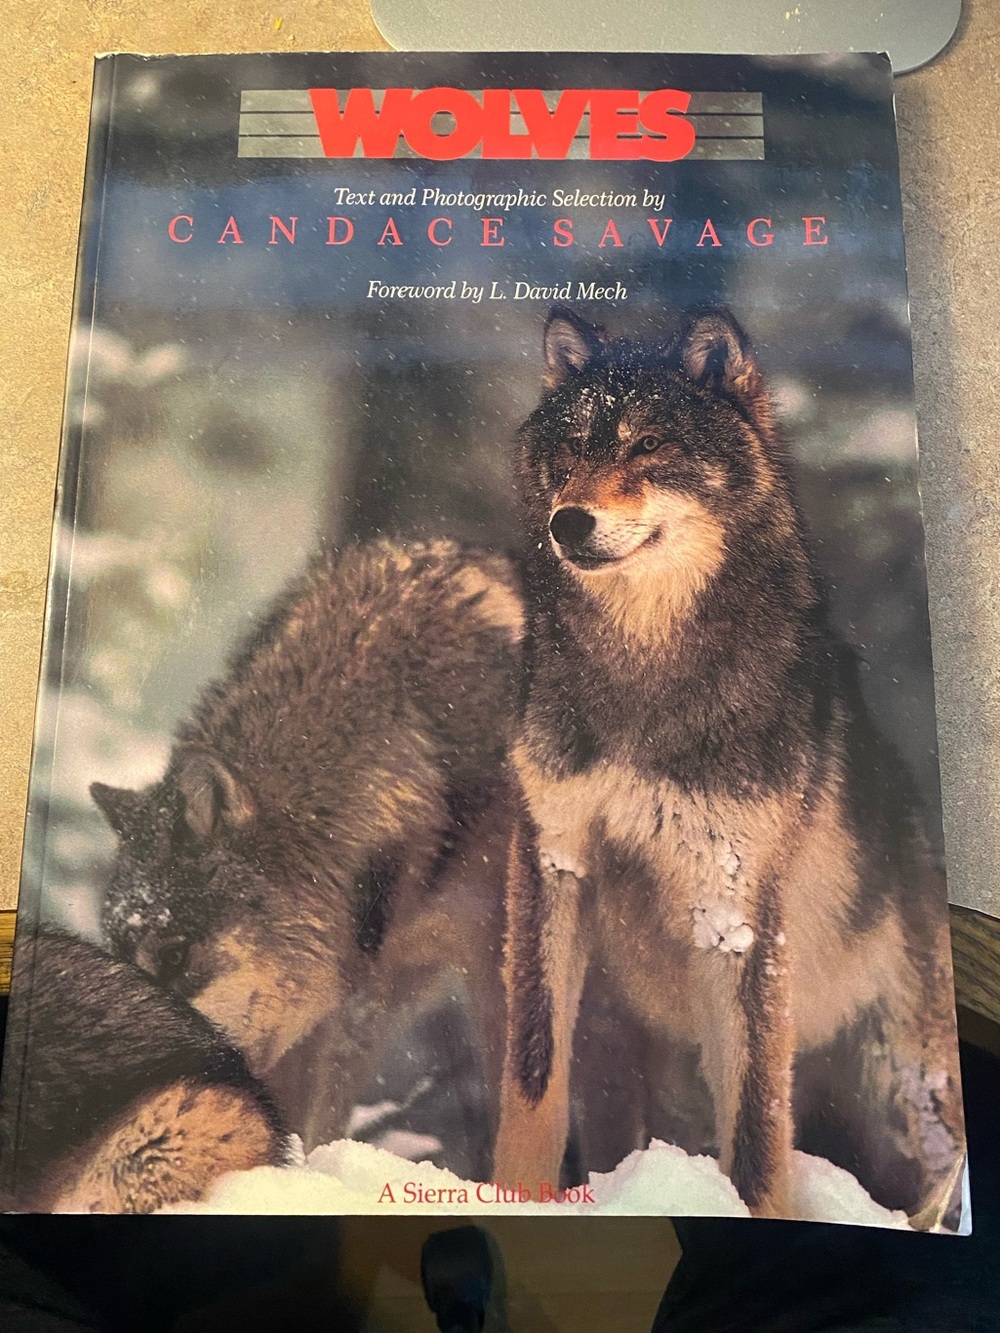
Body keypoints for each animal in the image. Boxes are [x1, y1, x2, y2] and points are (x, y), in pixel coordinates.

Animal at [494, 306, 965, 1226]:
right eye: (570, 451)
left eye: (647, 445)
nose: (568, 521)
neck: (644, 677)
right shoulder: (552, 856)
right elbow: (531, 1077)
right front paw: (509, 1201)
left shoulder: (734, 905)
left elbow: (753, 1123)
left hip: (904, 1085)